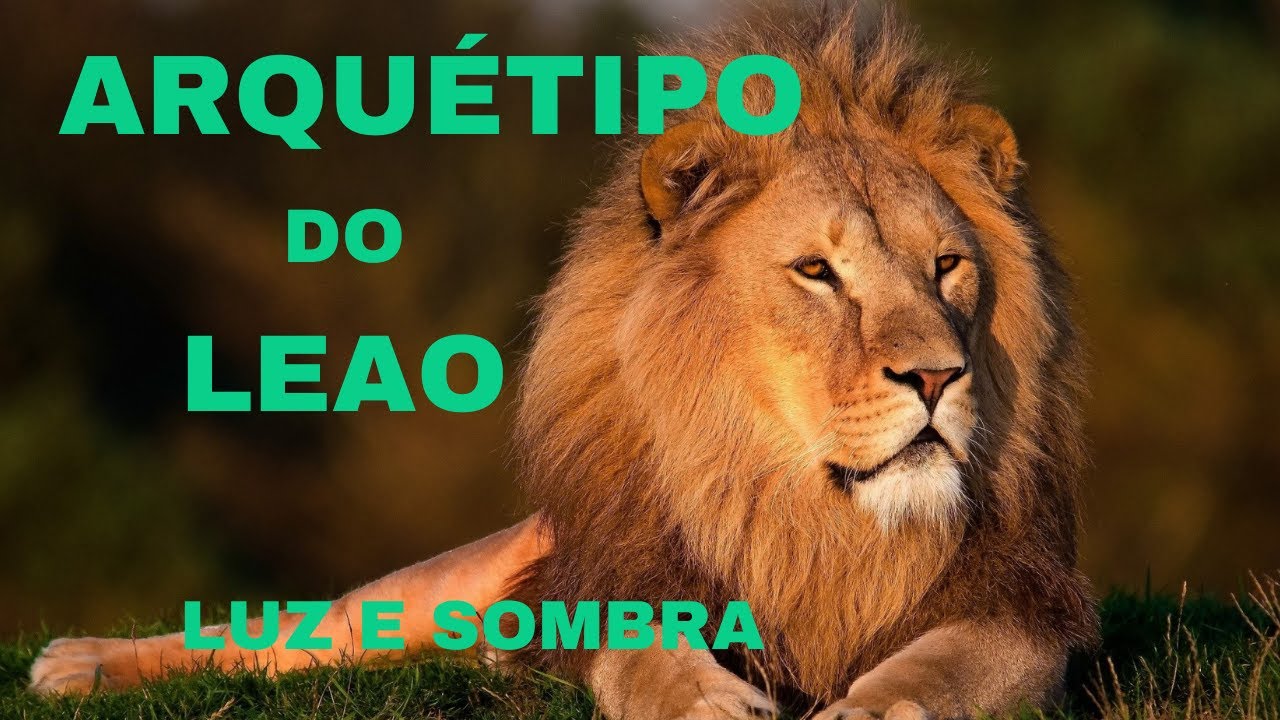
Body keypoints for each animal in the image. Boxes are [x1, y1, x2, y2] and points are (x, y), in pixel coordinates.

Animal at [29, 7, 1097, 719]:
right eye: (817, 272)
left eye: (947, 266)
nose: (937, 378)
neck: (807, 515)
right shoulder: (619, 577)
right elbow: (646, 653)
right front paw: (702, 701)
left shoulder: (1022, 609)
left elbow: (942, 668)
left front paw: (871, 705)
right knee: (286, 634)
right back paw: (75, 663)